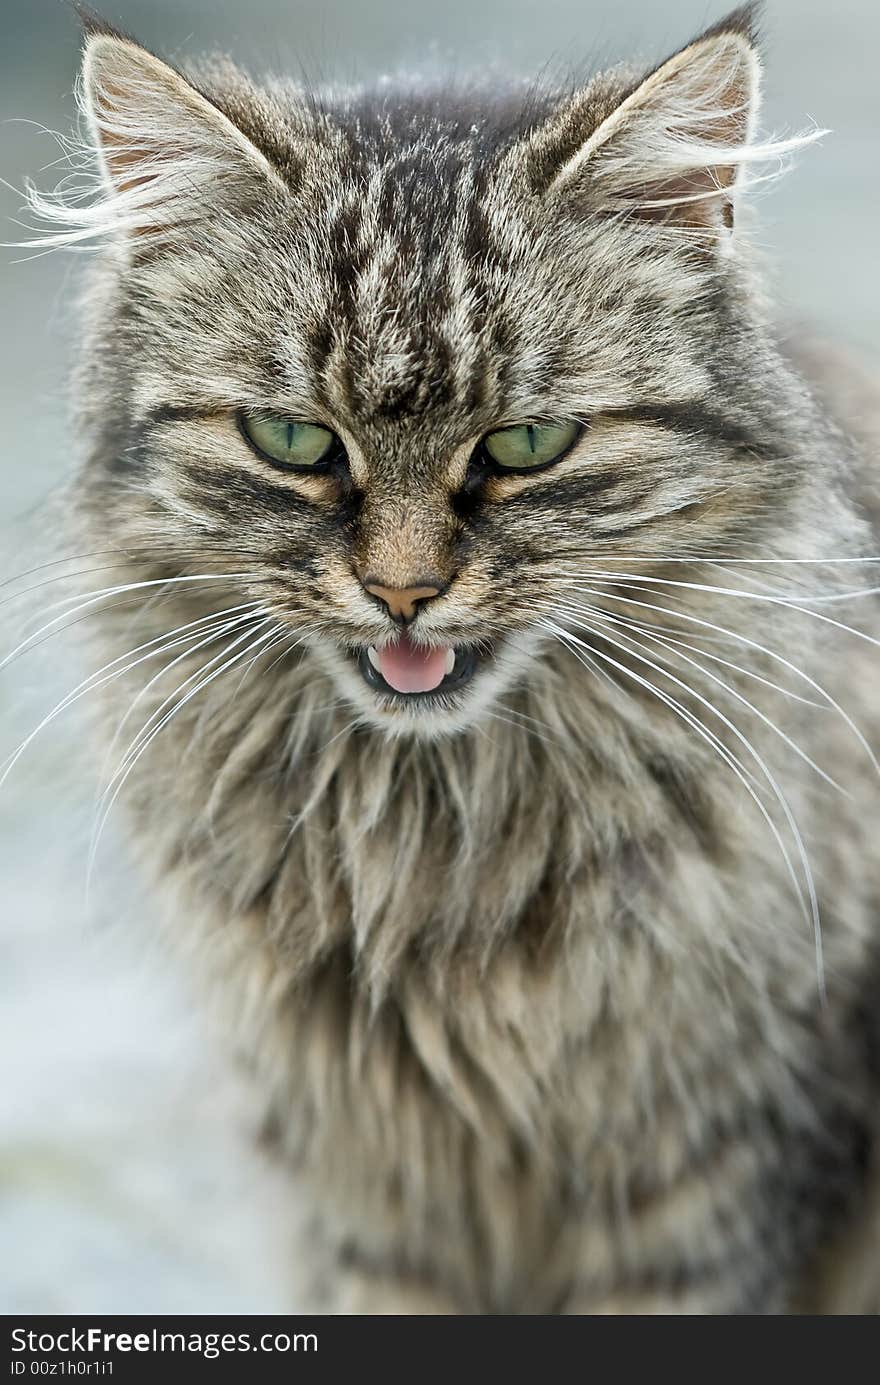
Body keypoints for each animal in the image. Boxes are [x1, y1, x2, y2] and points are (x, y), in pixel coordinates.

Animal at [17, 5, 880, 1312]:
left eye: (528, 444)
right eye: (292, 439)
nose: (404, 593)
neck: (438, 841)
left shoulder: (707, 1173)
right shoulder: (368, 1195)